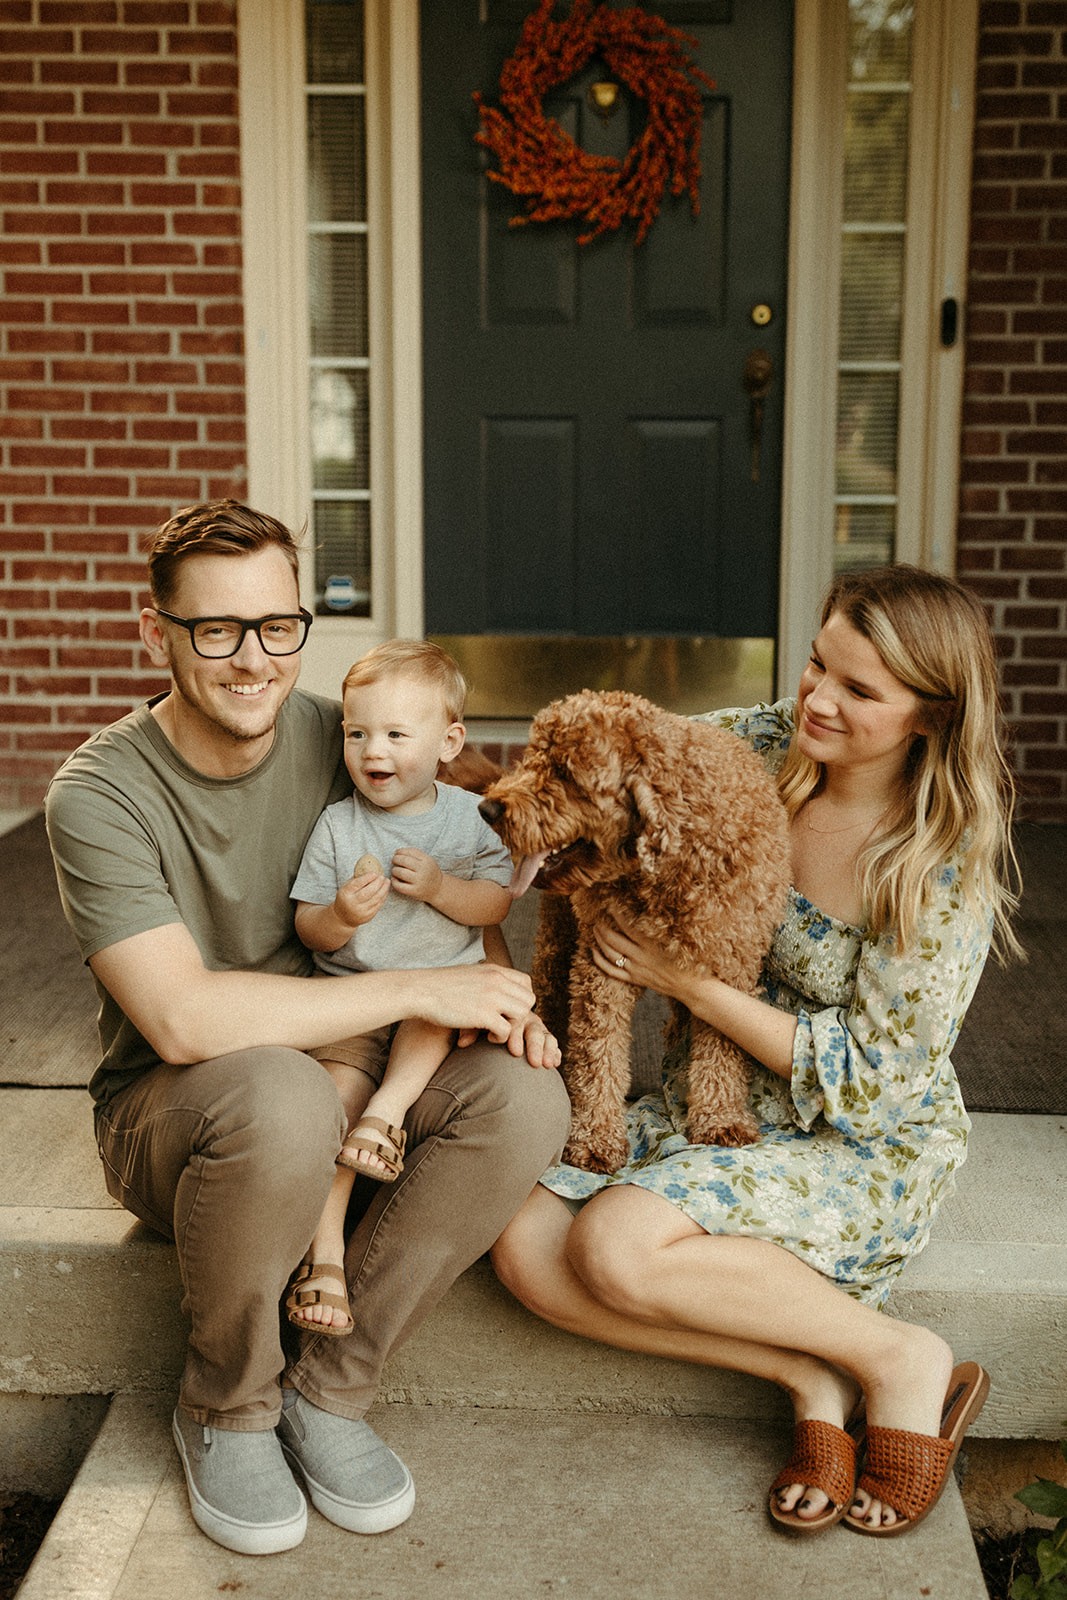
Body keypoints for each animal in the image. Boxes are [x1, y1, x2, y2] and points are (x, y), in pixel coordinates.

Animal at [479, 688, 790, 1177]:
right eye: (531, 757)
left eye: (565, 773)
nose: (488, 807)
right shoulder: (602, 965)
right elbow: (598, 1054)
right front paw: (594, 1138)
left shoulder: (732, 964)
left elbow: (722, 1047)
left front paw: (720, 1118)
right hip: (559, 935)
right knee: (550, 992)